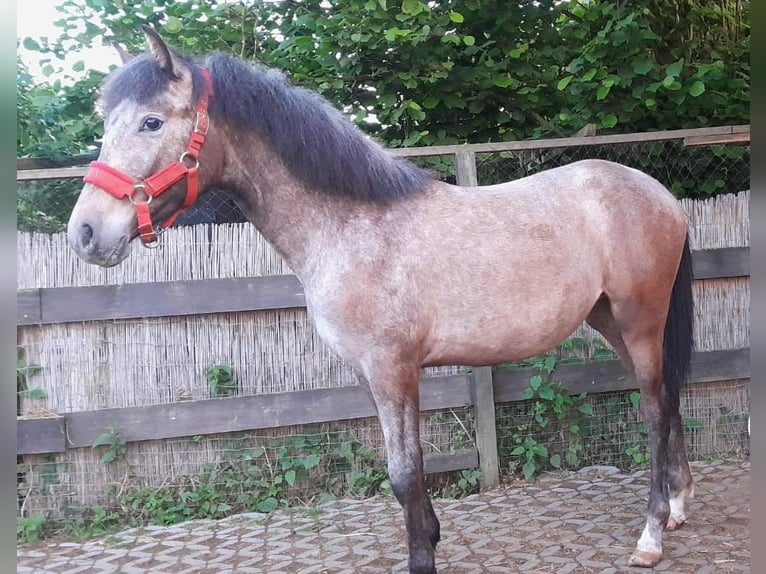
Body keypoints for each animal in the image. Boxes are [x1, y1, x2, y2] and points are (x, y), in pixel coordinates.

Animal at [67, 27, 695, 573]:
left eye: (151, 121)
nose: (86, 234)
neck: (351, 225)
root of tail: (660, 193)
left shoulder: (392, 368)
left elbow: (404, 472)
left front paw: (422, 557)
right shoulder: (376, 374)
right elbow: (405, 470)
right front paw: (431, 538)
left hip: (639, 321)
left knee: (654, 409)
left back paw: (650, 536)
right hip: (612, 321)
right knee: (667, 400)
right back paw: (679, 507)